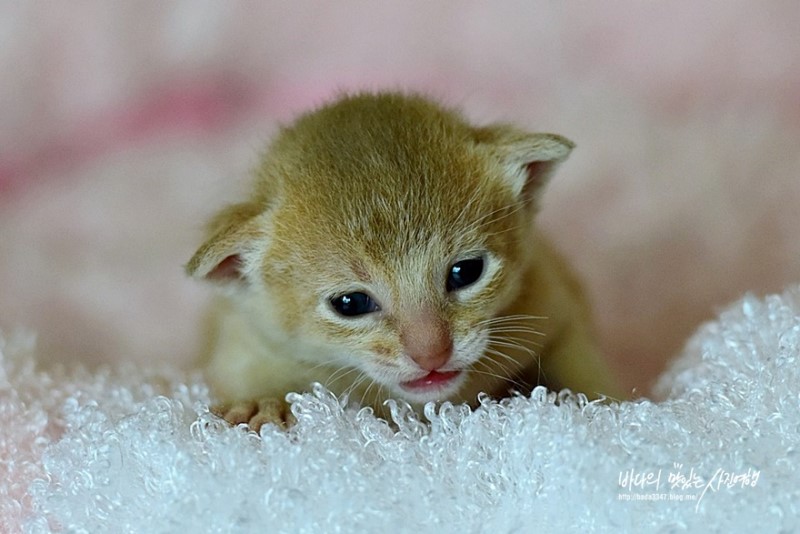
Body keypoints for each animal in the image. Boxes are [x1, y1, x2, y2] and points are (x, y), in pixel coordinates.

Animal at [186, 90, 620, 430]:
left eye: (466, 272)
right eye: (350, 303)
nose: (432, 355)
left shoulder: (551, 303)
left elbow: (581, 363)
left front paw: (608, 408)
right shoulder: (243, 346)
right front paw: (263, 404)